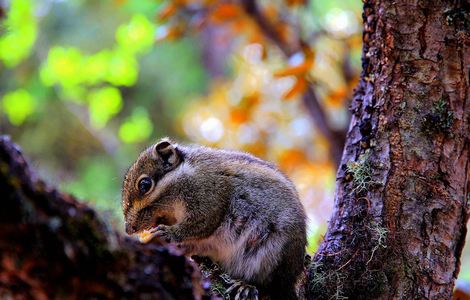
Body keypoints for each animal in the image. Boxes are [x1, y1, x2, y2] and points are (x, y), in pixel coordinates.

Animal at [121, 139, 306, 300]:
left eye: (144, 185)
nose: (129, 229)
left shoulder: (207, 194)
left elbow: (201, 223)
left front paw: (167, 232)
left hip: (272, 256)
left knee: (270, 286)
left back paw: (246, 286)